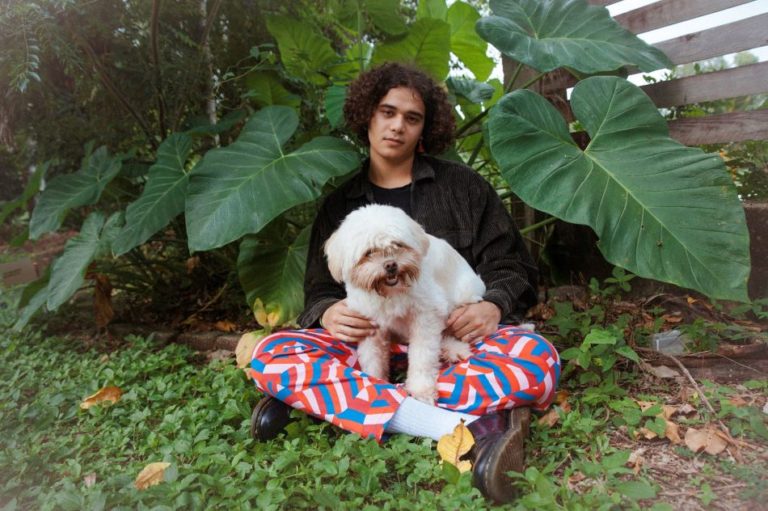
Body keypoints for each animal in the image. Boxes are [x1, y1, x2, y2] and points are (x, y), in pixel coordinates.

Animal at [324, 204, 486, 404]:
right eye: (369, 252)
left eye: (397, 245)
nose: (390, 265)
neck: (389, 294)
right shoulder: (370, 327)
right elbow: (372, 359)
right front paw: (375, 383)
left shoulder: (426, 316)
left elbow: (423, 356)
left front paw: (421, 389)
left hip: (463, 297)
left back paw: (455, 349)